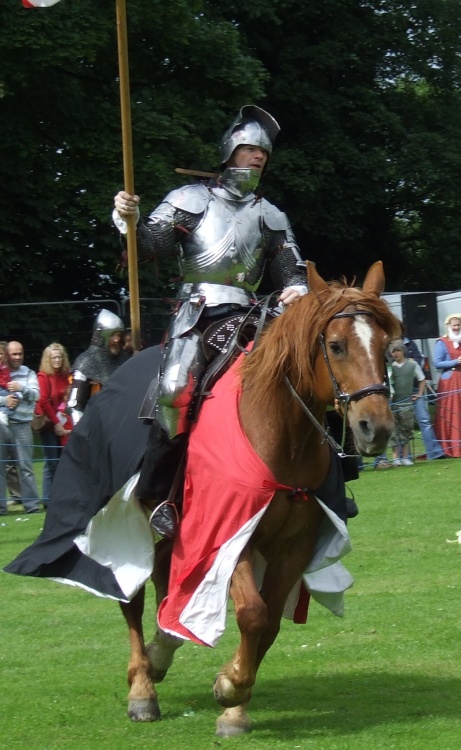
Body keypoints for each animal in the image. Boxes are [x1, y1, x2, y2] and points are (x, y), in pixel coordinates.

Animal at [118, 262, 398, 736]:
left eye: (386, 346)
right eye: (336, 346)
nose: (373, 428)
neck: (281, 433)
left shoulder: (294, 546)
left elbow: (267, 624)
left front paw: (234, 705)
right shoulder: (231, 534)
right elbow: (252, 612)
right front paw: (229, 689)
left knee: (162, 574)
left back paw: (161, 651)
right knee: (132, 594)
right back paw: (142, 689)